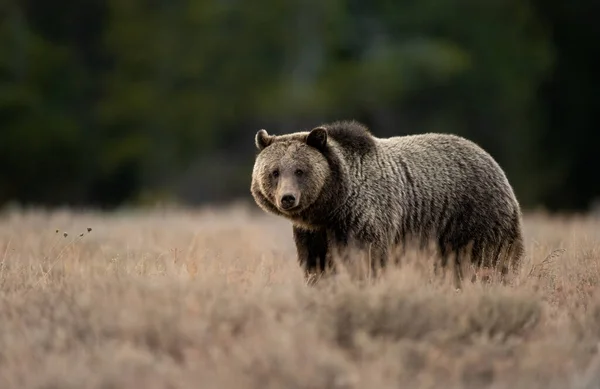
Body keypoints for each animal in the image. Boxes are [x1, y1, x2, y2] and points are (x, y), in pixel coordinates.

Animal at [251, 119, 524, 284]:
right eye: (274, 171)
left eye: (300, 170)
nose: (287, 198)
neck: (333, 205)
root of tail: (490, 158)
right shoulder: (314, 232)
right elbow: (316, 264)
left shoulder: (364, 215)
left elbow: (365, 256)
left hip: (474, 215)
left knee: (488, 257)